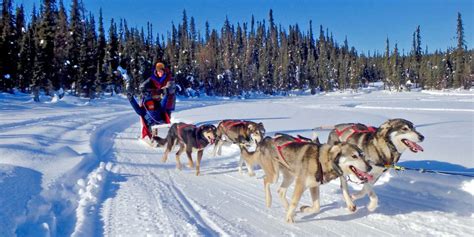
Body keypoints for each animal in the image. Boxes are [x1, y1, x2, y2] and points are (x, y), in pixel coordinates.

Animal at [241, 134, 370, 223]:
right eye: (354, 156)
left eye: (363, 155)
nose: (369, 167)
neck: (321, 160)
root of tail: (265, 140)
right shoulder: (301, 184)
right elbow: (295, 202)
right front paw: (289, 218)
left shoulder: (314, 186)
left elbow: (317, 207)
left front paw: (304, 209)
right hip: (275, 175)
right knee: (266, 181)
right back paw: (269, 201)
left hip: (289, 177)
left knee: (280, 191)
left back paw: (289, 209)